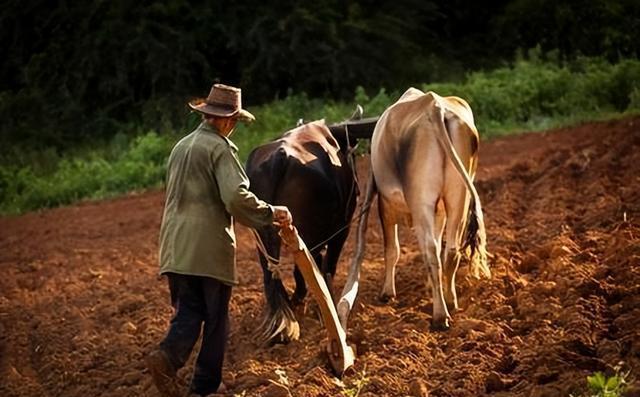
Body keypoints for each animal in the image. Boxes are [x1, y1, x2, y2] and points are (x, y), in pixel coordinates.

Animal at [340, 88, 490, 330]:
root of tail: (435, 106)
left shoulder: (385, 206)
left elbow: (392, 250)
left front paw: (387, 292)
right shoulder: (439, 211)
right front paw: (429, 287)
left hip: (422, 201)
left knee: (431, 252)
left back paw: (439, 316)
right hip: (458, 198)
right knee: (450, 251)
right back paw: (450, 301)